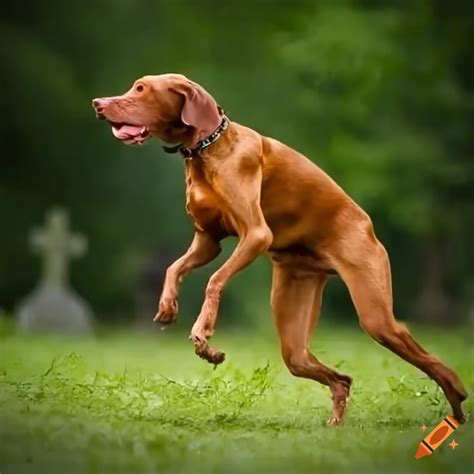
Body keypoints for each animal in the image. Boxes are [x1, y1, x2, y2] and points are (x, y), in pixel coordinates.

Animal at [92, 74, 466, 426]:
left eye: (141, 89)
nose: (97, 103)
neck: (207, 148)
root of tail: (367, 226)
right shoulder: (207, 240)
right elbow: (174, 267)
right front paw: (169, 306)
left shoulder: (256, 235)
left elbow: (214, 280)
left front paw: (203, 332)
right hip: (295, 336)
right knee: (337, 377)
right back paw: (336, 423)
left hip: (376, 317)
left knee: (424, 356)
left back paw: (458, 399)